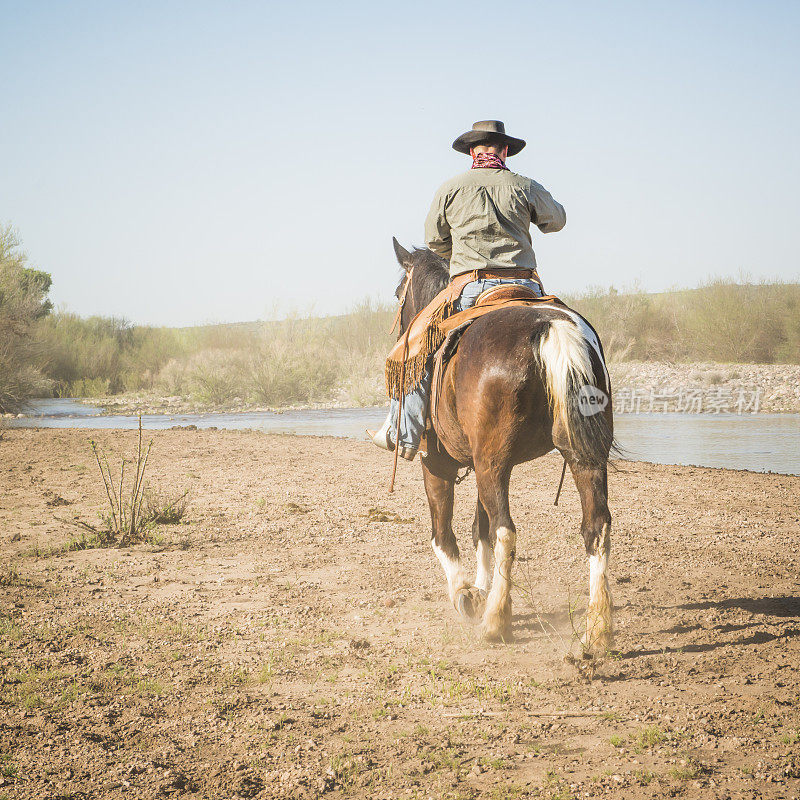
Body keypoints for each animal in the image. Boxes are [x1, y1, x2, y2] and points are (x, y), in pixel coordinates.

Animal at [390, 241, 616, 652]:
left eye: (400, 292)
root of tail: (549, 328)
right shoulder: (484, 463)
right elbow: (478, 530)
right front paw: (479, 589)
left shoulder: (439, 464)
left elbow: (445, 533)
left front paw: (464, 594)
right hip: (579, 456)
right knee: (596, 527)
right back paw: (597, 630)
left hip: (491, 464)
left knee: (505, 532)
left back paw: (496, 620)